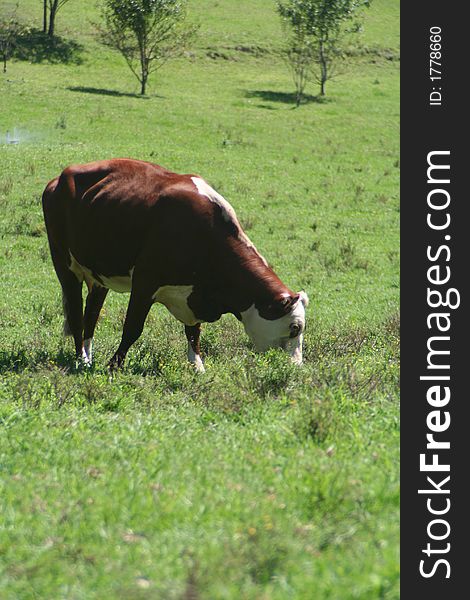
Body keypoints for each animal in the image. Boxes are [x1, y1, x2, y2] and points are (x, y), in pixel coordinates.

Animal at [42, 158, 308, 370]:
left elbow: (193, 332)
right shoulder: (145, 282)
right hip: (65, 265)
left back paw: (87, 356)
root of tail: (59, 178)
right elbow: (132, 328)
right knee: (76, 315)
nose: (296, 366)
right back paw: (80, 359)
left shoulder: (194, 295)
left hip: (98, 276)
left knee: (91, 315)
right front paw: (114, 364)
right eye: (295, 328)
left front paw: (197, 366)